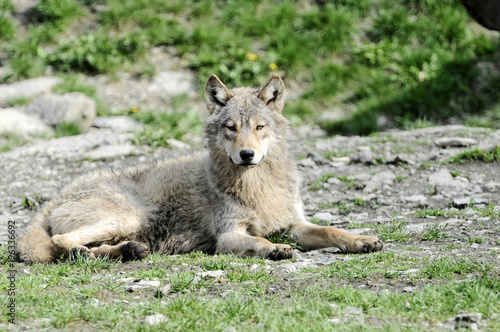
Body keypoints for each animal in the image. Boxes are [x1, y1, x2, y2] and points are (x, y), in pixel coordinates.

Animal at [16, 74, 382, 264]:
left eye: (259, 127)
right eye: (231, 128)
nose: (247, 154)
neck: (258, 186)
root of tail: (55, 197)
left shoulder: (295, 224)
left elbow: (332, 231)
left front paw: (362, 240)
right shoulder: (230, 235)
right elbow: (258, 240)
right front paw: (274, 248)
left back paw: (129, 251)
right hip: (128, 216)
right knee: (63, 242)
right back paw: (95, 251)